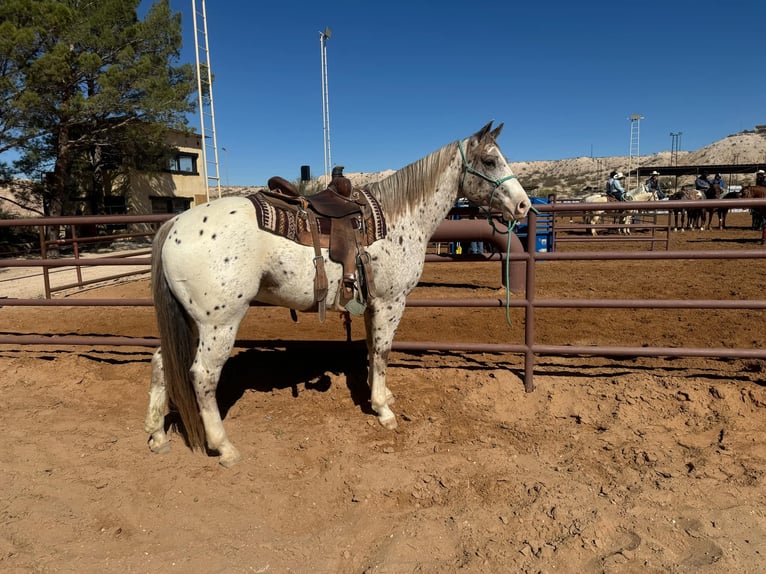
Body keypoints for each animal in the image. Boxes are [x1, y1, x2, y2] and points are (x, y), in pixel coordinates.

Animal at [144, 122, 536, 468]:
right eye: (490, 160)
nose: (523, 206)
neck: (398, 217)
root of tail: (175, 224)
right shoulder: (392, 302)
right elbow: (383, 351)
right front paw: (383, 410)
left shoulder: (372, 304)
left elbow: (372, 350)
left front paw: (381, 394)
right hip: (219, 323)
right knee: (203, 376)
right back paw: (223, 447)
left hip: (191, 321)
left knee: (162, 362)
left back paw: (158, 435)